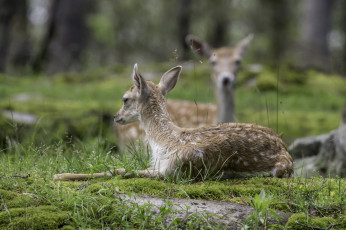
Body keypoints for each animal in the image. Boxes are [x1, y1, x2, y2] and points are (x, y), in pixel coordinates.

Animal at [55, 63, 294, 181]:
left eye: (125, 99)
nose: (116, 117)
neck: (165, 141)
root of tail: (285, 148)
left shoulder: (174, 170)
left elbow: (120, 171)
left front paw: (59, 175)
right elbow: (122, 168)